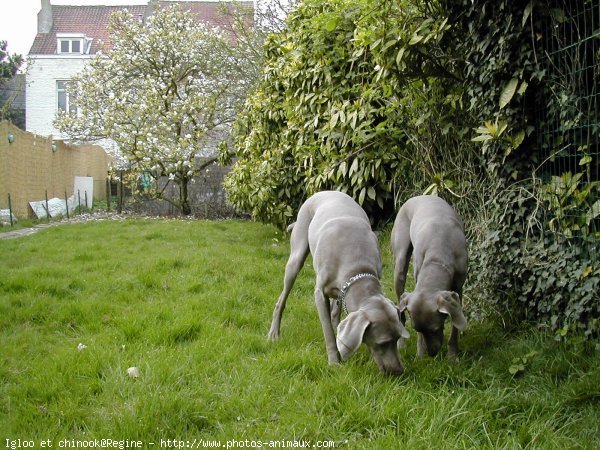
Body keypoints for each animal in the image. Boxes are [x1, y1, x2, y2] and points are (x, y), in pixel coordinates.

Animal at [270, 191, 410, 376]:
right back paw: (274, 334)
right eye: (383, 343)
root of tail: (323, 192)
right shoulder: (319, 293)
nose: (399, 371)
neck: (356, 266)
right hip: (296, 257)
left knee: (334, 312)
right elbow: (327, 330)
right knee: (282, 299)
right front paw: (334, 362)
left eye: (397, 338)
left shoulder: (344, 289)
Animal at [392, 195, 472, 356]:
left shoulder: (458, 288)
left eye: (435, 328)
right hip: (400, 265)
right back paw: (401, 343)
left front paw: (452, 354)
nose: (432, 354)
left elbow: (455, 324)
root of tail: (416, 196)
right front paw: (420, 353)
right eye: (417, 329)